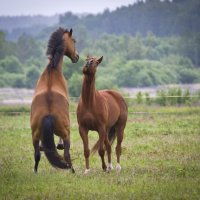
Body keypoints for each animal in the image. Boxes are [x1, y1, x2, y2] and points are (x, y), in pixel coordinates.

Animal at [30, 27, 79, 173]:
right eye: (74, 40)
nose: (77, 56)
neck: (52, 71)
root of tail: (48, 114)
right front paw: (59, 145)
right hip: (66, 132)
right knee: (67, 154)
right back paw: (73, 171)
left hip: (35, 135)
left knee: (37, 154)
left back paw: (35, 172)